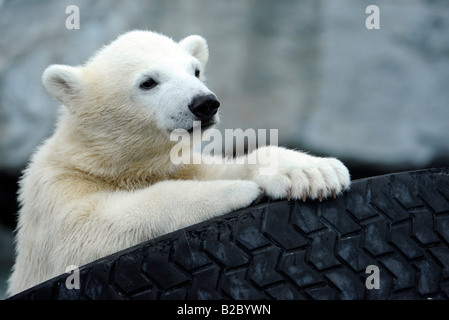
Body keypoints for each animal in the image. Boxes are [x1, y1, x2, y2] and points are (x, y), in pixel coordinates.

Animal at [7, 30, 350, 296]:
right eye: (148, 82)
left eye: (195, 70)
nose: (205, 103)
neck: (108, 162)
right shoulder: (56, 194)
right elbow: (87, 233)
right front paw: (236, 190)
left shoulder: (182, 163)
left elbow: (231, 164)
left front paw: (316, 173)